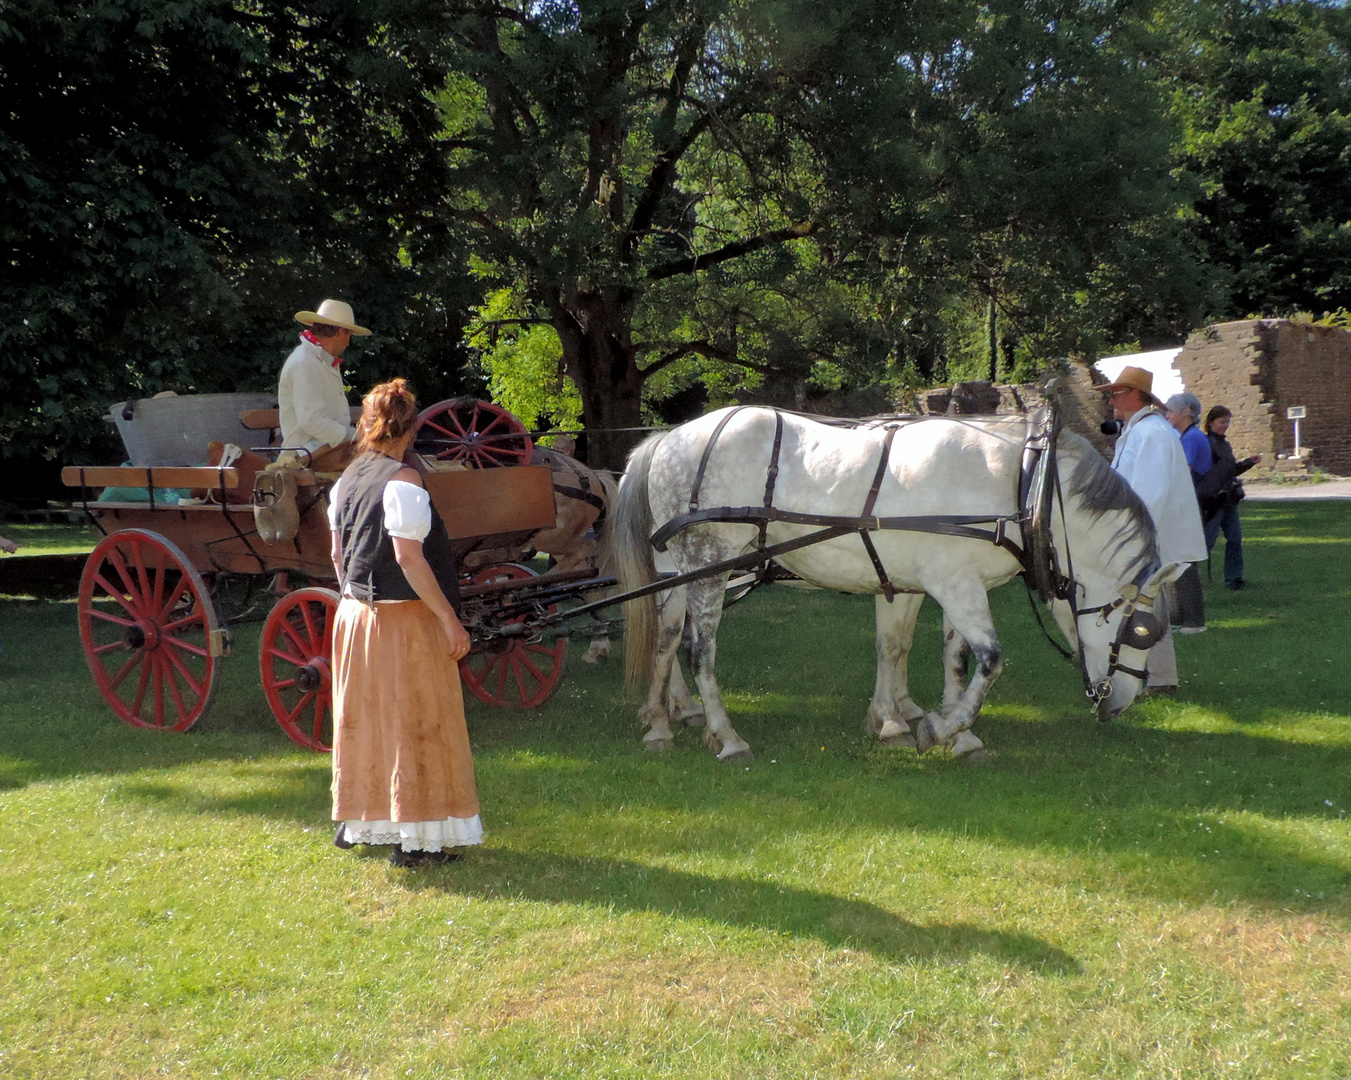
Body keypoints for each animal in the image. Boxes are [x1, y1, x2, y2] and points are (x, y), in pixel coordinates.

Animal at [605, 402, 1183, 762]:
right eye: (1143, 632)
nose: (1120, 704)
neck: (1022, 483)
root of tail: (667, 439)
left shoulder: (934, 580)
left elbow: (927, 652)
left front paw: (931, 729)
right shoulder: (952, 582)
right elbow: (990, 659)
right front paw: (938, 727)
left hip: (679, 567)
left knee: (665, 636)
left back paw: (661, 721)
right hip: (711, 558)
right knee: (698, 649)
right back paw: (726, 737)